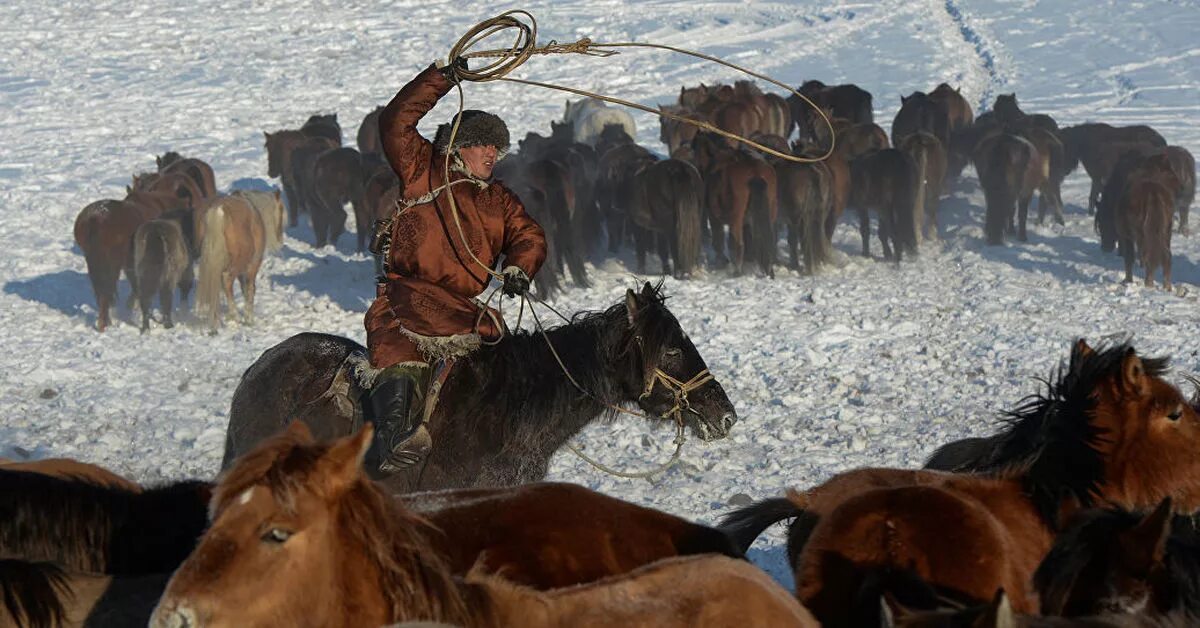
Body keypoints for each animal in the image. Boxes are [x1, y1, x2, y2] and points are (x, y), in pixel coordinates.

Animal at [193, 195, 264, 329]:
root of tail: (219, 209)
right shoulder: (253, 266)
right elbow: (250, 289)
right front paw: (249, 318)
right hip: (238, 264)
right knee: (227, 280)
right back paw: (235, 316)